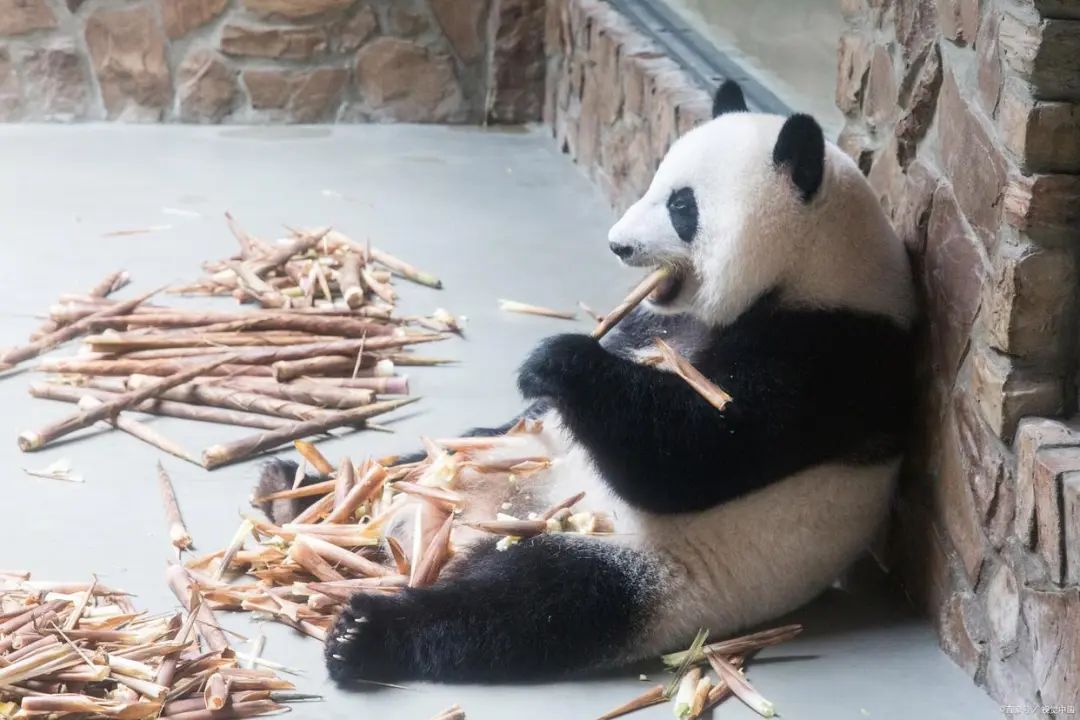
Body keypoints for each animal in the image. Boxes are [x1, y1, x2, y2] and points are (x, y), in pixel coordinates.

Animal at [257, 80, 917, 682]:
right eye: (655, 183)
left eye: (682, 206)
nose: (619, 245)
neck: (815, 266)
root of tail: (474, 521)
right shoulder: (663, 320)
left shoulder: (830, 355)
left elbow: (698, 455)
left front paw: (557, 361)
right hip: (478, 467)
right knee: (406, 467)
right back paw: (296, 490)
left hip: (649, 568)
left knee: (535, 602)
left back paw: (367, 632)